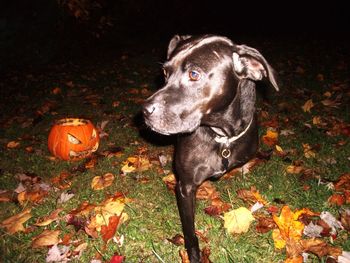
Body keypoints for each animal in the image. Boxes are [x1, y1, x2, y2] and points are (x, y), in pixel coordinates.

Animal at [142, 34, 278, 262]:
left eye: (194, 74)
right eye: (165, 72)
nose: (144, 111)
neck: (222, 136)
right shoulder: (186, 187)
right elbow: (189, 231)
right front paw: (194, 254)